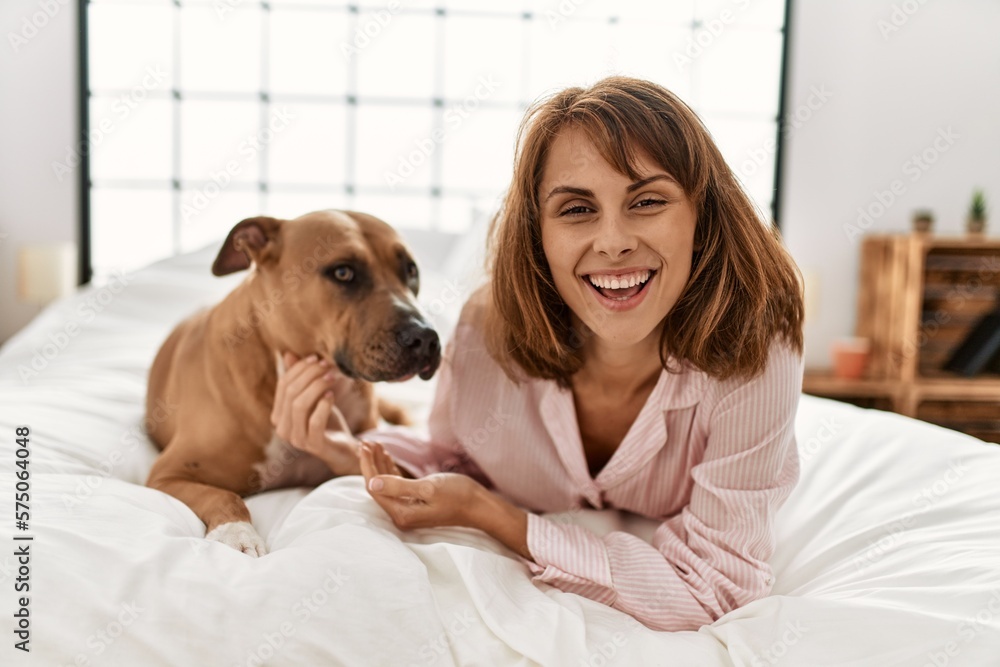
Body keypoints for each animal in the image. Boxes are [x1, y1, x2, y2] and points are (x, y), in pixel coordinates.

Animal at [144, 211, 438, 556]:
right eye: (343, 272)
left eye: (411, 271)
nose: (426, 337)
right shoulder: (167, 473)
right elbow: (223, 495)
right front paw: (238, 533)